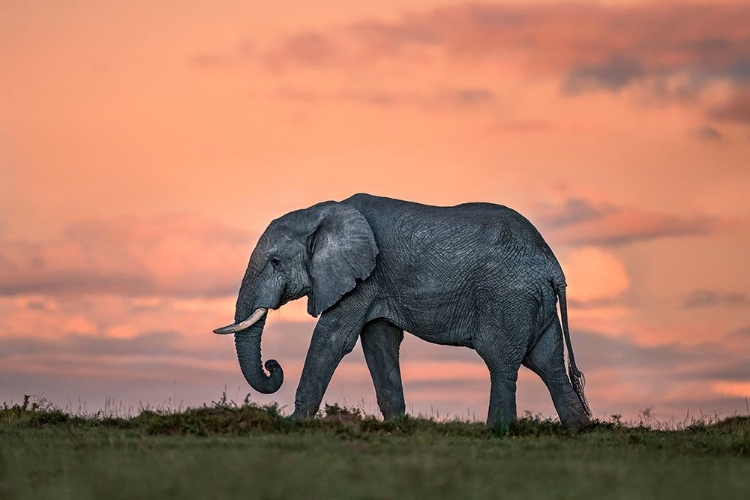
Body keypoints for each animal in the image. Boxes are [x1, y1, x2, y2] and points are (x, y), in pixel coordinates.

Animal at [216, 193, 592, 428]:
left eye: (276, 262)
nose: (272, 366)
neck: (324, 211)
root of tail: (551, 264)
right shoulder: (376, 284)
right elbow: (378, 342)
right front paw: (397, 425)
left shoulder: (364, 277)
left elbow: (333, 337)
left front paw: (293, 423)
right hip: (535, 303)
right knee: (548, 364)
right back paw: (580, 430)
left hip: (508, 298)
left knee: (502, 362)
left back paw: (496, 432)